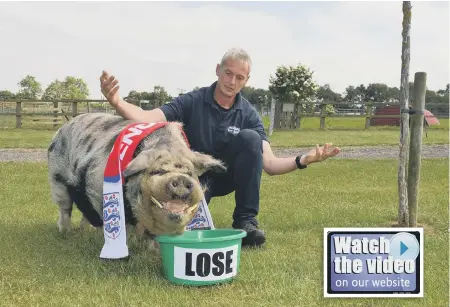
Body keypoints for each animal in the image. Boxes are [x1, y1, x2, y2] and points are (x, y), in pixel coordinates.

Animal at [47, 112, 227, 245]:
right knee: (65, 208)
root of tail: (62, 128)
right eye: (158, 171)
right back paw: (66, 233)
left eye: (189, 173)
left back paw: (87, 232)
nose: (181, 180)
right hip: (57, 180)